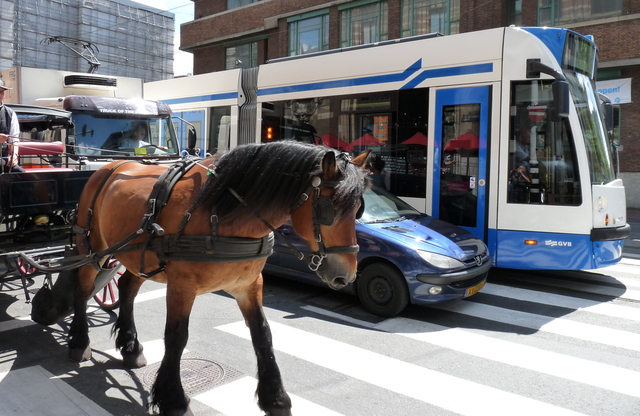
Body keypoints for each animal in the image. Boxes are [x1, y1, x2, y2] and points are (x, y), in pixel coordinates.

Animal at [67, 141, 368, 414]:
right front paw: (173, 399)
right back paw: (79, 342)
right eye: (327, 209)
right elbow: (176, 337)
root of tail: (108, 167)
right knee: (82, 289)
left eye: (358, 209)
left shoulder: (248, 285)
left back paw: (130, 347)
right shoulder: (181, 286)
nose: (346, 275)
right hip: (93, 249)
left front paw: (275, 398)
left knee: (126, 288)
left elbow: (263, 334)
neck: (223, 212)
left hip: (137, 255)